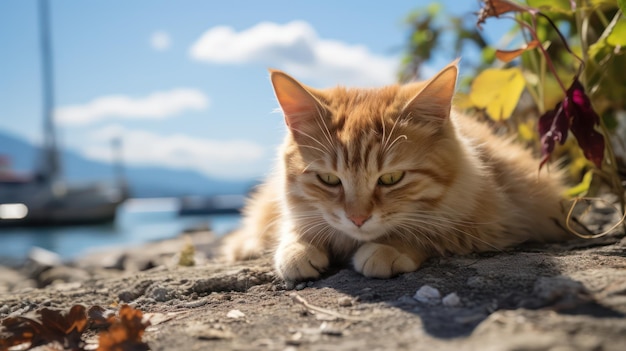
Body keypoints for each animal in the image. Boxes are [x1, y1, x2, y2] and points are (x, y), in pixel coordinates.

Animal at [221, 62, 572, 284]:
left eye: (391, 179)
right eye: (329, 180)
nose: (357, 219)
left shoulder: (499, 221)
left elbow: (426, 232)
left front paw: (388, 248)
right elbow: (297, 226)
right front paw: (298, 248)